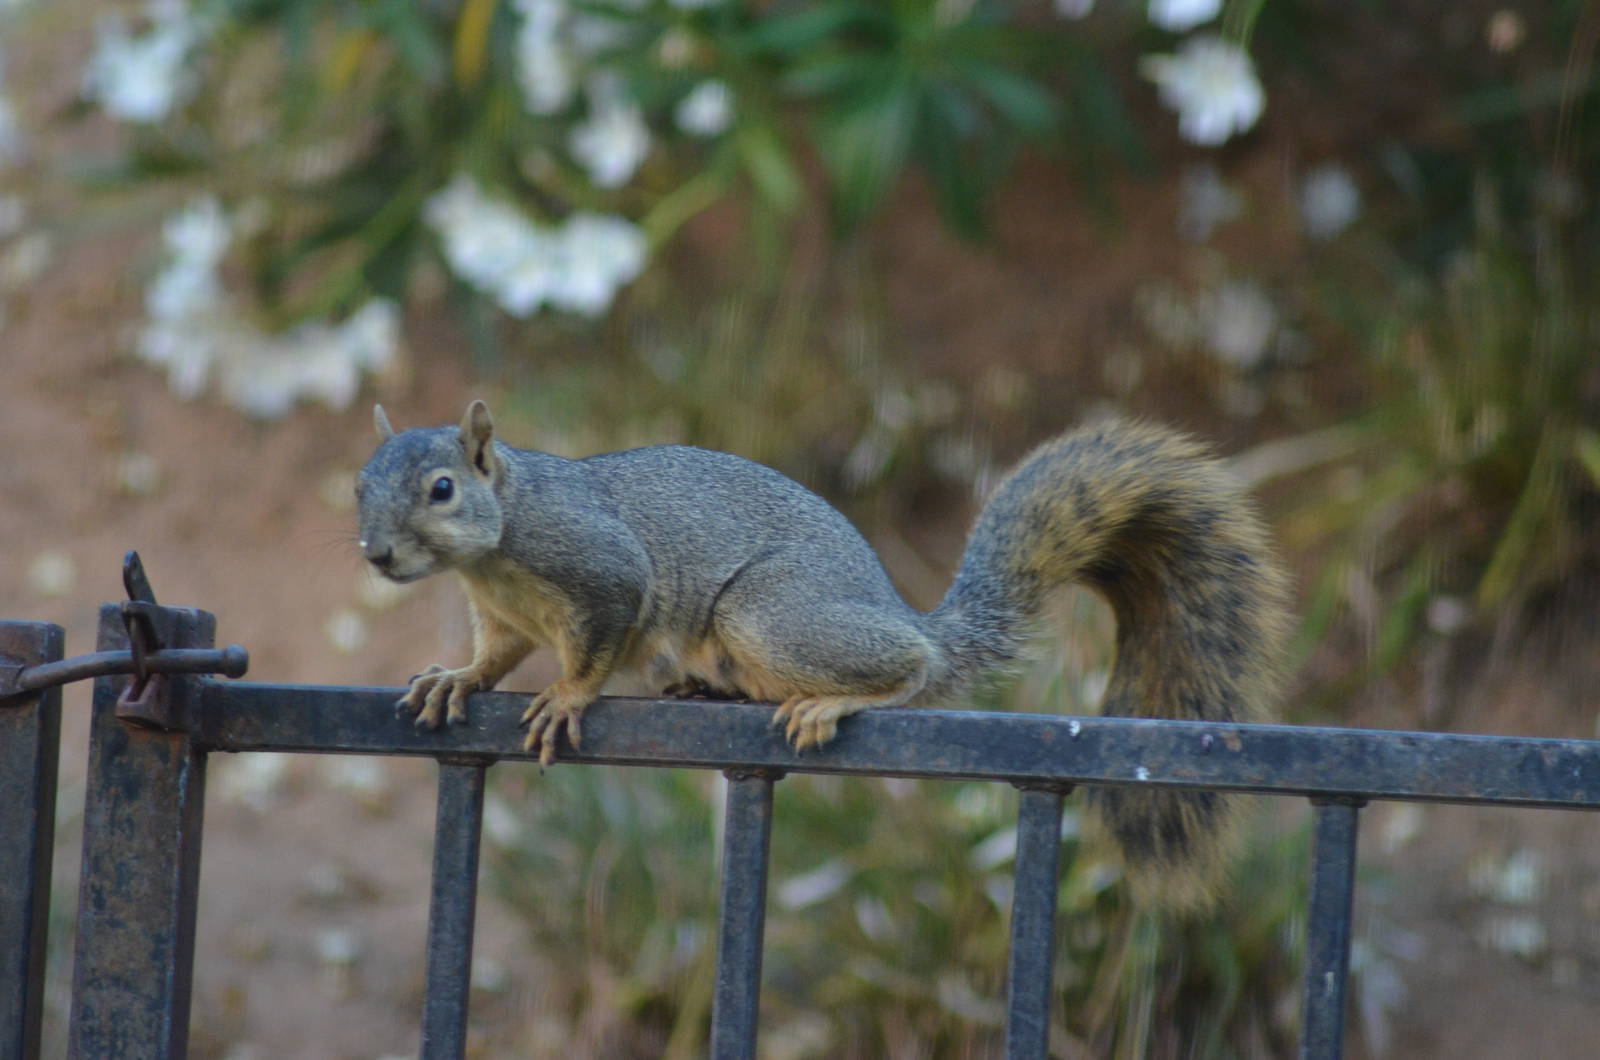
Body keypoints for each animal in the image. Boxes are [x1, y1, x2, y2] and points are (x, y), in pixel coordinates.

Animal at [357, 400, 1290, 909]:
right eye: (359, 485)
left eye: (442, 489)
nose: (376, 554)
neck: (495, 549)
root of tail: (898, 607)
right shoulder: (503, 616)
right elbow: (495, 656)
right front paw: (455, 680)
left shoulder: (603, 573)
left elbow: (595, 649)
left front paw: (565, 699)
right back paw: (704, 693)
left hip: (770, 616)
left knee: (910, 667)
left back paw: (838, 698)